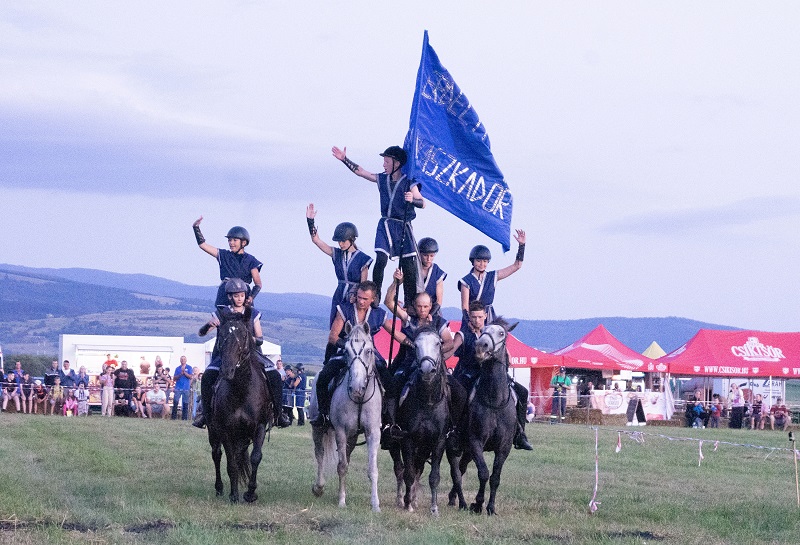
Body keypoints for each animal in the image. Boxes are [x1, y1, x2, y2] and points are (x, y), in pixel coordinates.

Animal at [208, 306, 274, 502]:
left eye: (244, 335)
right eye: (221, 335)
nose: (227, 370)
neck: (241, 391)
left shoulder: (259, 426)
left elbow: (255, 457)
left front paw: (250, 493)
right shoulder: (225, 430)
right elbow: (230, 463)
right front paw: (234, 495)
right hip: (214, 431)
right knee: (216, 454)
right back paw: (220, 488)